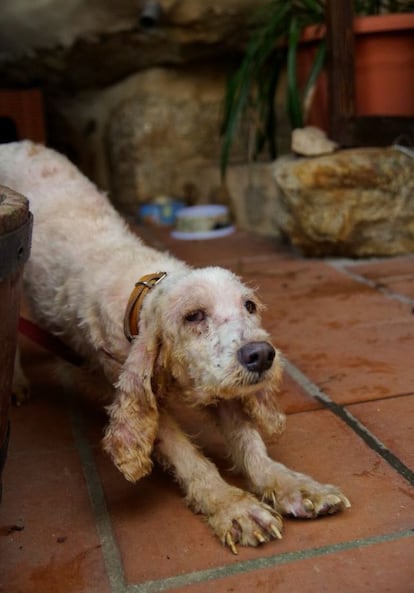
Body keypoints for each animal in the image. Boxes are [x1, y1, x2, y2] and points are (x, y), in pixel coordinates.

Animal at [0, 141, 350, 552]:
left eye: (249, 306)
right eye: (193, 316)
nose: (261, 356)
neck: (143, 293)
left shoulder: (223, 385)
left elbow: (250, 443)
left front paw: (294, 487)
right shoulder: (137, 388)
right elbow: (188, 456)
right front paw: (235, 508)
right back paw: (17, 384)